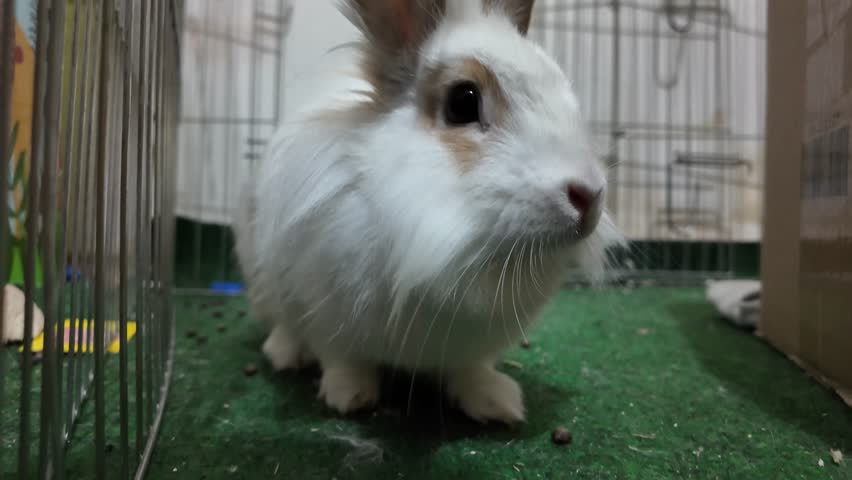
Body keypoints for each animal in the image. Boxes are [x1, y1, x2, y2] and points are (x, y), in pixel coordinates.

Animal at [233, 0, 623, 426]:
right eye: (463, 101)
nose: (590, 196)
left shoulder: (470, 345)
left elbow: (469, 370)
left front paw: (496, 401)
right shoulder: (323, 311)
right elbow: (342, 358)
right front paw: (348, 395)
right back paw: (284, 354)